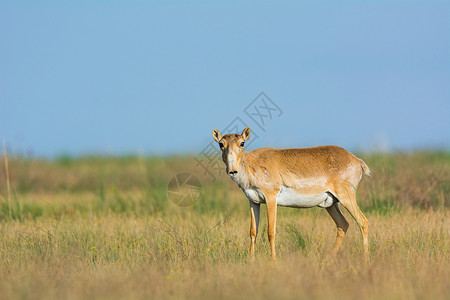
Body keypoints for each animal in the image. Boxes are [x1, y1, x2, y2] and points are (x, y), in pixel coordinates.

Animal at [213, 126, 370, 260]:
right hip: (330, 204)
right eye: (221, 144)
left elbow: (271, 232)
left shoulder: (271, 198)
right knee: (343, 224)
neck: (252, 164)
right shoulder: (254, 202)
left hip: (346, 197)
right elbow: (253, 232)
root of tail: (357, 160)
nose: (232, 170)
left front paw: (273, 261)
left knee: (362, 221)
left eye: (242, 143)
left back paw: (365, 259)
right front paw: (250, 261)